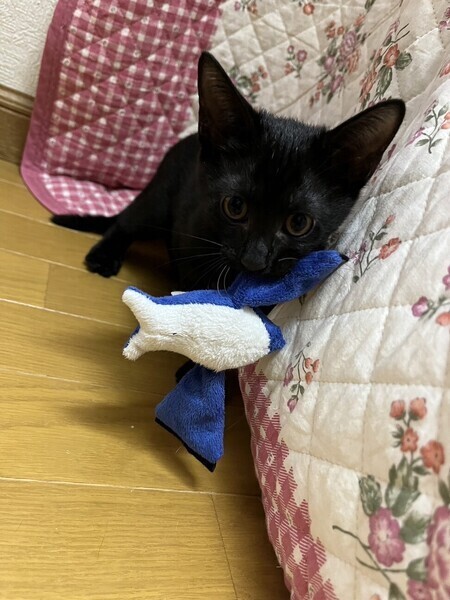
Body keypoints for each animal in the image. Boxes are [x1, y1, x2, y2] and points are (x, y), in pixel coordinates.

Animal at [52, 52, 405, 291]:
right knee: (127, 220)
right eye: (235, 206)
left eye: (299, 223)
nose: (254, 260)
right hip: (159, 197)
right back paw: (105, 254)